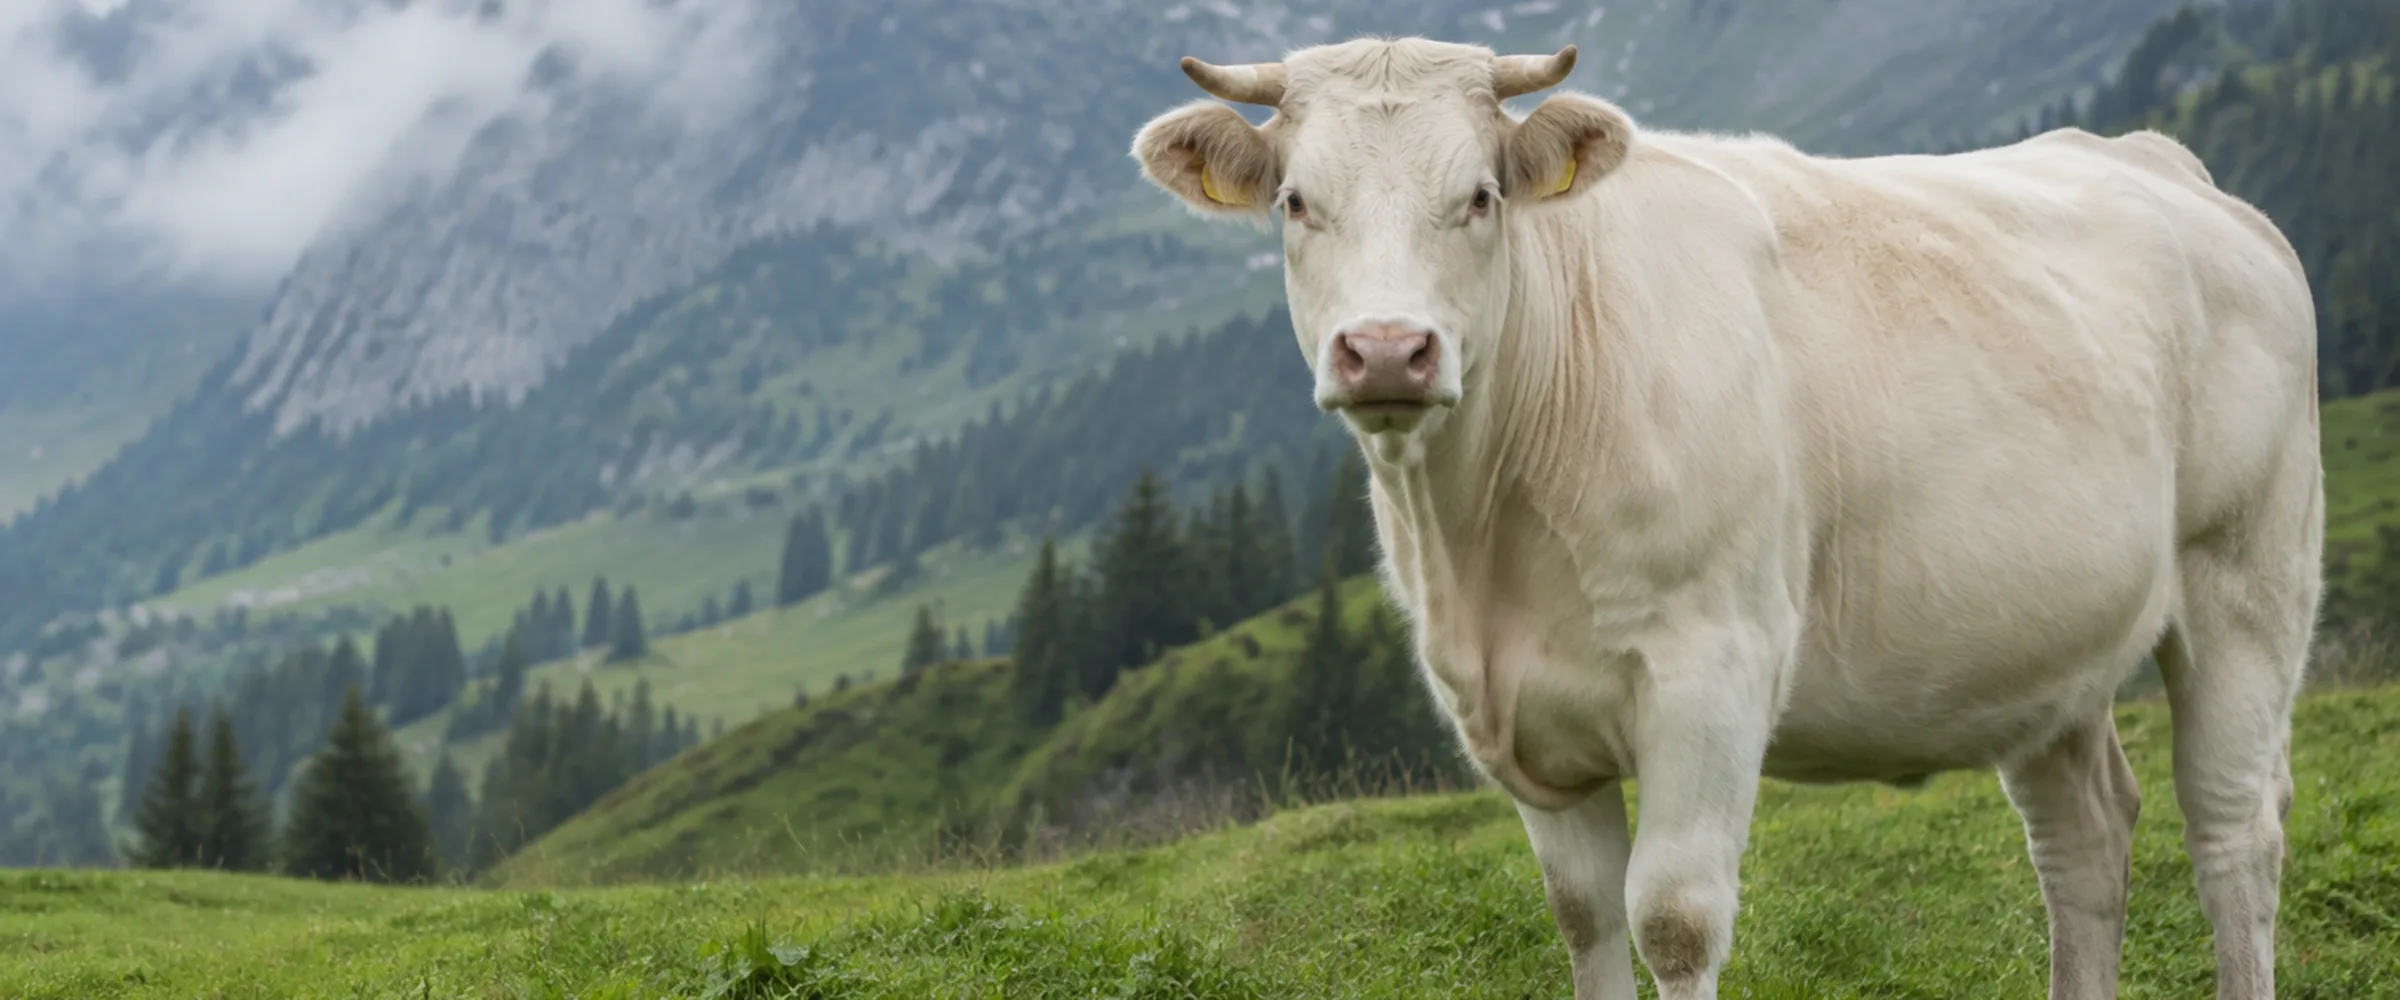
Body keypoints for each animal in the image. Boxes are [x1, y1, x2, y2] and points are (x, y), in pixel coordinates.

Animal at [1129, 36, 2319, 1000]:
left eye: (1478, 196)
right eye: (1295, 201)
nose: (1385, 350)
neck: (1484, 556)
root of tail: (2161, 162)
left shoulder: (1714, 669)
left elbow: (1674, 920)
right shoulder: (1528, 720)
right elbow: (1584, 918)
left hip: (2247, 579)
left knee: (2234, 828)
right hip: (2044, 643)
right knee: (2084, 838)